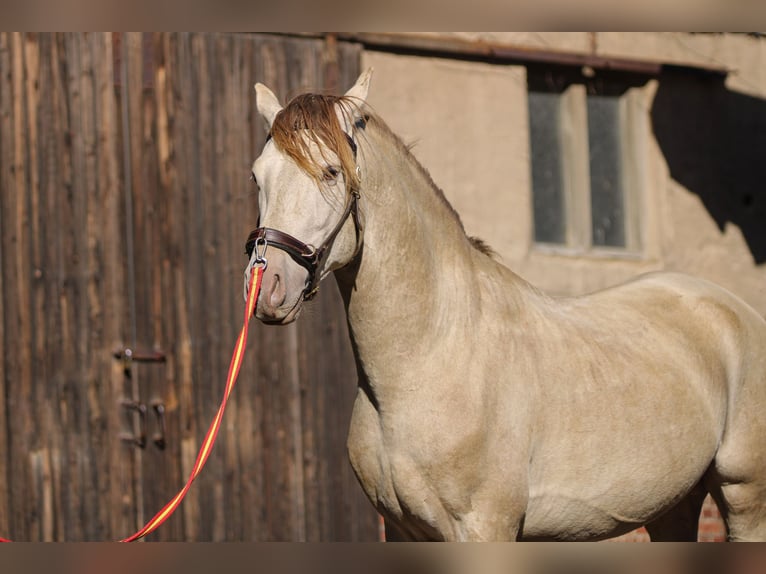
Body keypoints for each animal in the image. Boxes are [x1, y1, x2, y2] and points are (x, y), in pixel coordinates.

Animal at [244, 70, 766, 544]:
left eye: (331, 171)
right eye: (257, 176)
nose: (267, 287)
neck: (429, 356)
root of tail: (739, 312)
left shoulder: (485, 527)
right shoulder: (403, 530)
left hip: (744, 497)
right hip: (672, 506)